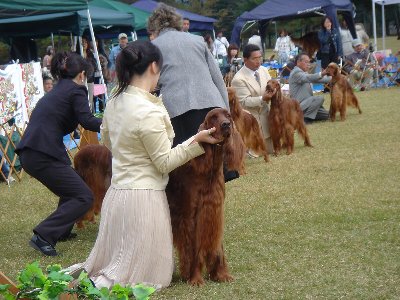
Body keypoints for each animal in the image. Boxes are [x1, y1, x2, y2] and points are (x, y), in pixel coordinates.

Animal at [166, 108, 241, 286]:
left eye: (228, 115)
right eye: (213, 118)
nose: (226, 125)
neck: (208, 171)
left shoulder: (214, 210)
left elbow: (218, 246)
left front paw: (221, 274)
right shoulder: (191, 216)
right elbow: (194, 249)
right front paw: (195, 278)